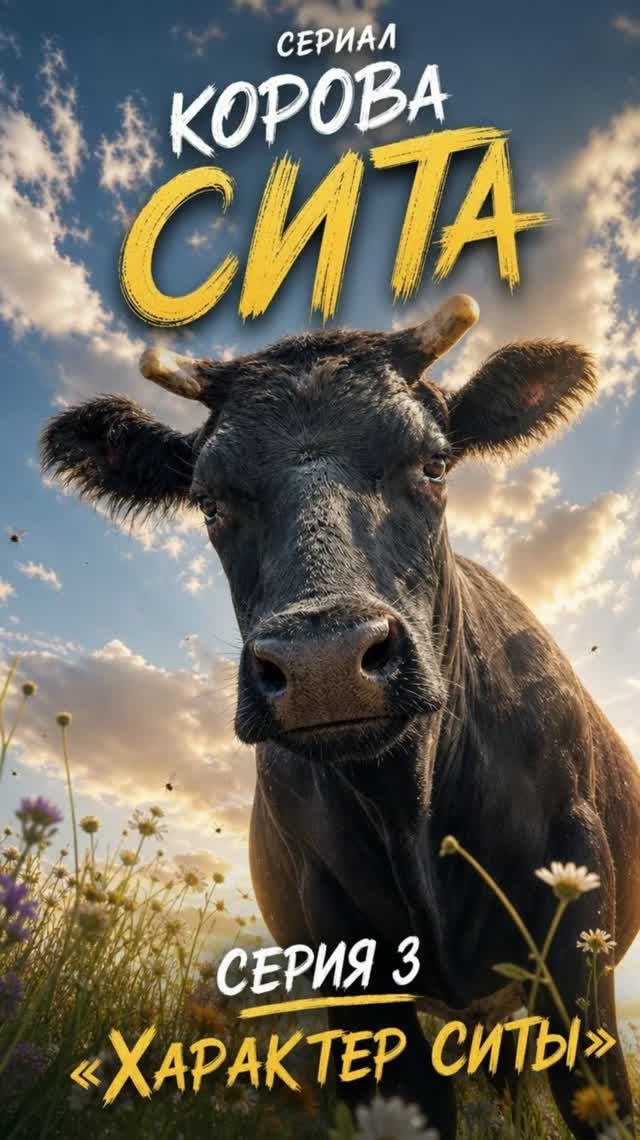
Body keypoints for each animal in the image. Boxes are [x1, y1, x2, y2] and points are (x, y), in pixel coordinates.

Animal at [41, 295, 640, 1137]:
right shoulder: (342, 949)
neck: (409, 805)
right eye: (209, 500)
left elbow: (596, 1098)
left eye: (434, 465)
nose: (324, 665)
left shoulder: (578, 931)